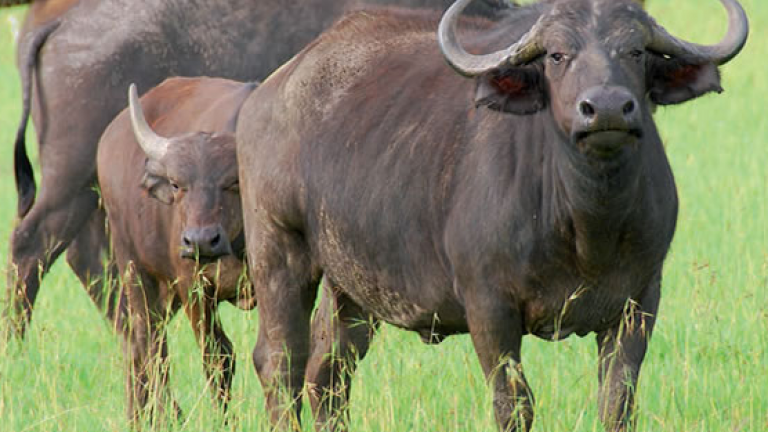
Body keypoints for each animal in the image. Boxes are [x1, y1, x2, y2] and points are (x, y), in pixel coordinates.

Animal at [96, 77, 255, 422]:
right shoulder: (193, 288)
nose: (199, 240)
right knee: (150, 343)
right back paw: (161, 416)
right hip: (134, 269)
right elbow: (219, 356)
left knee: (136, 344)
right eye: (177, 184)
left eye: (233, 182)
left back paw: (140, 415)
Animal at [237, 0, 748, 432]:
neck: (586, 226)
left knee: (329, 369)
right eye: (557, 55)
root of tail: (271, 92)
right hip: (278, 250)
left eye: (637, 51)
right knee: (280, 362)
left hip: (351, 285)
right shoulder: (489, 307)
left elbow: (617, 404)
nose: (605, 108)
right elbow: (514, 404)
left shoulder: (639, 302)